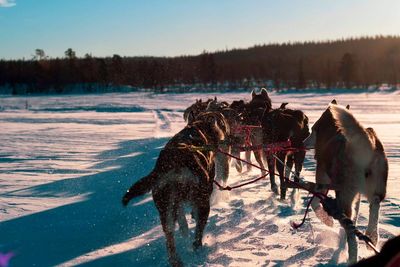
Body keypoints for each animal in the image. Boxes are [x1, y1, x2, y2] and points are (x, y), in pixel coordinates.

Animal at [122, 111, 230, 267]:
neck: (198, 128)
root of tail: (176, 161)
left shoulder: (176, 203)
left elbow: (182, 219)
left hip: (165, 206)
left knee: (169, 236)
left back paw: (176, 260)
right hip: (202, 201)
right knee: (198, 232)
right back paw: (198, 249)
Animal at [304, 101, 388, 266]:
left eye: (313, 129)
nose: (303, 142)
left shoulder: (321, 180)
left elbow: (315, 203)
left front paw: (327, 221)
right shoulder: (357, 197)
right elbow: (356, 214)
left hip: (344, 194)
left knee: (350, 229)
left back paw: (352, 256)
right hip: (374, 188)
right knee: (374, 205)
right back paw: (372, 235)